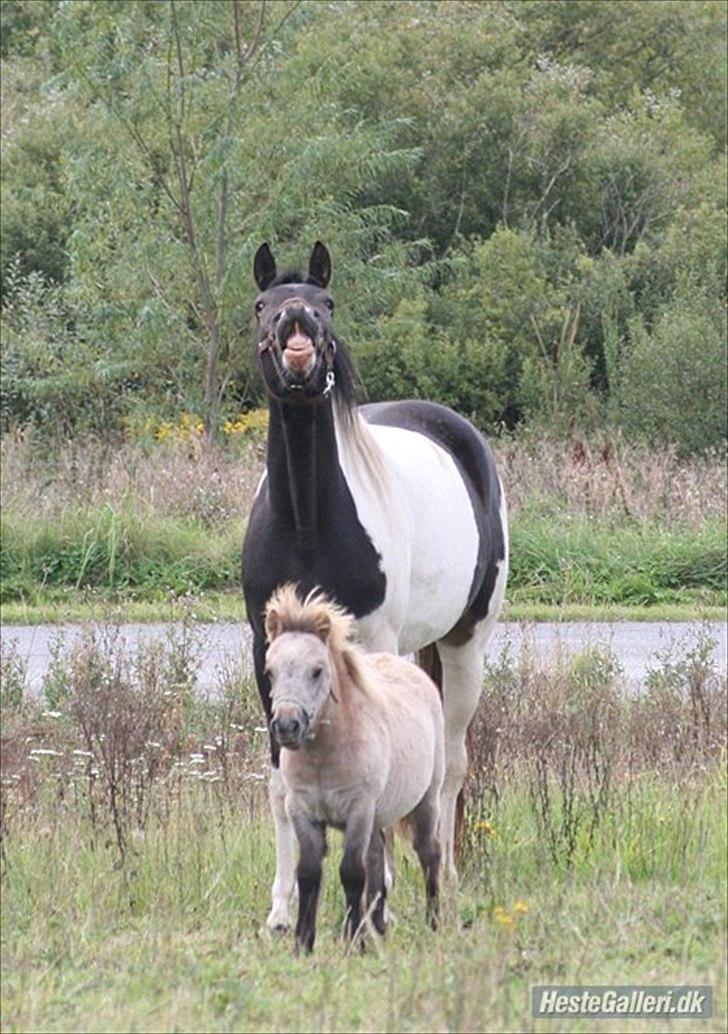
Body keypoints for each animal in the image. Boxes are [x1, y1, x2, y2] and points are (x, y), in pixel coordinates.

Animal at [262, 587, 442, 955]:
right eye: (270, 671)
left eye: (317, 670)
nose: (287, 726)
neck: (324, 758)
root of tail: (414, 671)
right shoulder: (303, 811)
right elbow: (310, 874)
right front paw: (303, 943)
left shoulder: (358, 811)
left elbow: (351, 873)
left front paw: (354, 943)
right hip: (378, 818)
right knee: (376, 864)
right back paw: (378, 927)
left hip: (426, 801)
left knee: (429, 854)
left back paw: (433, 923)